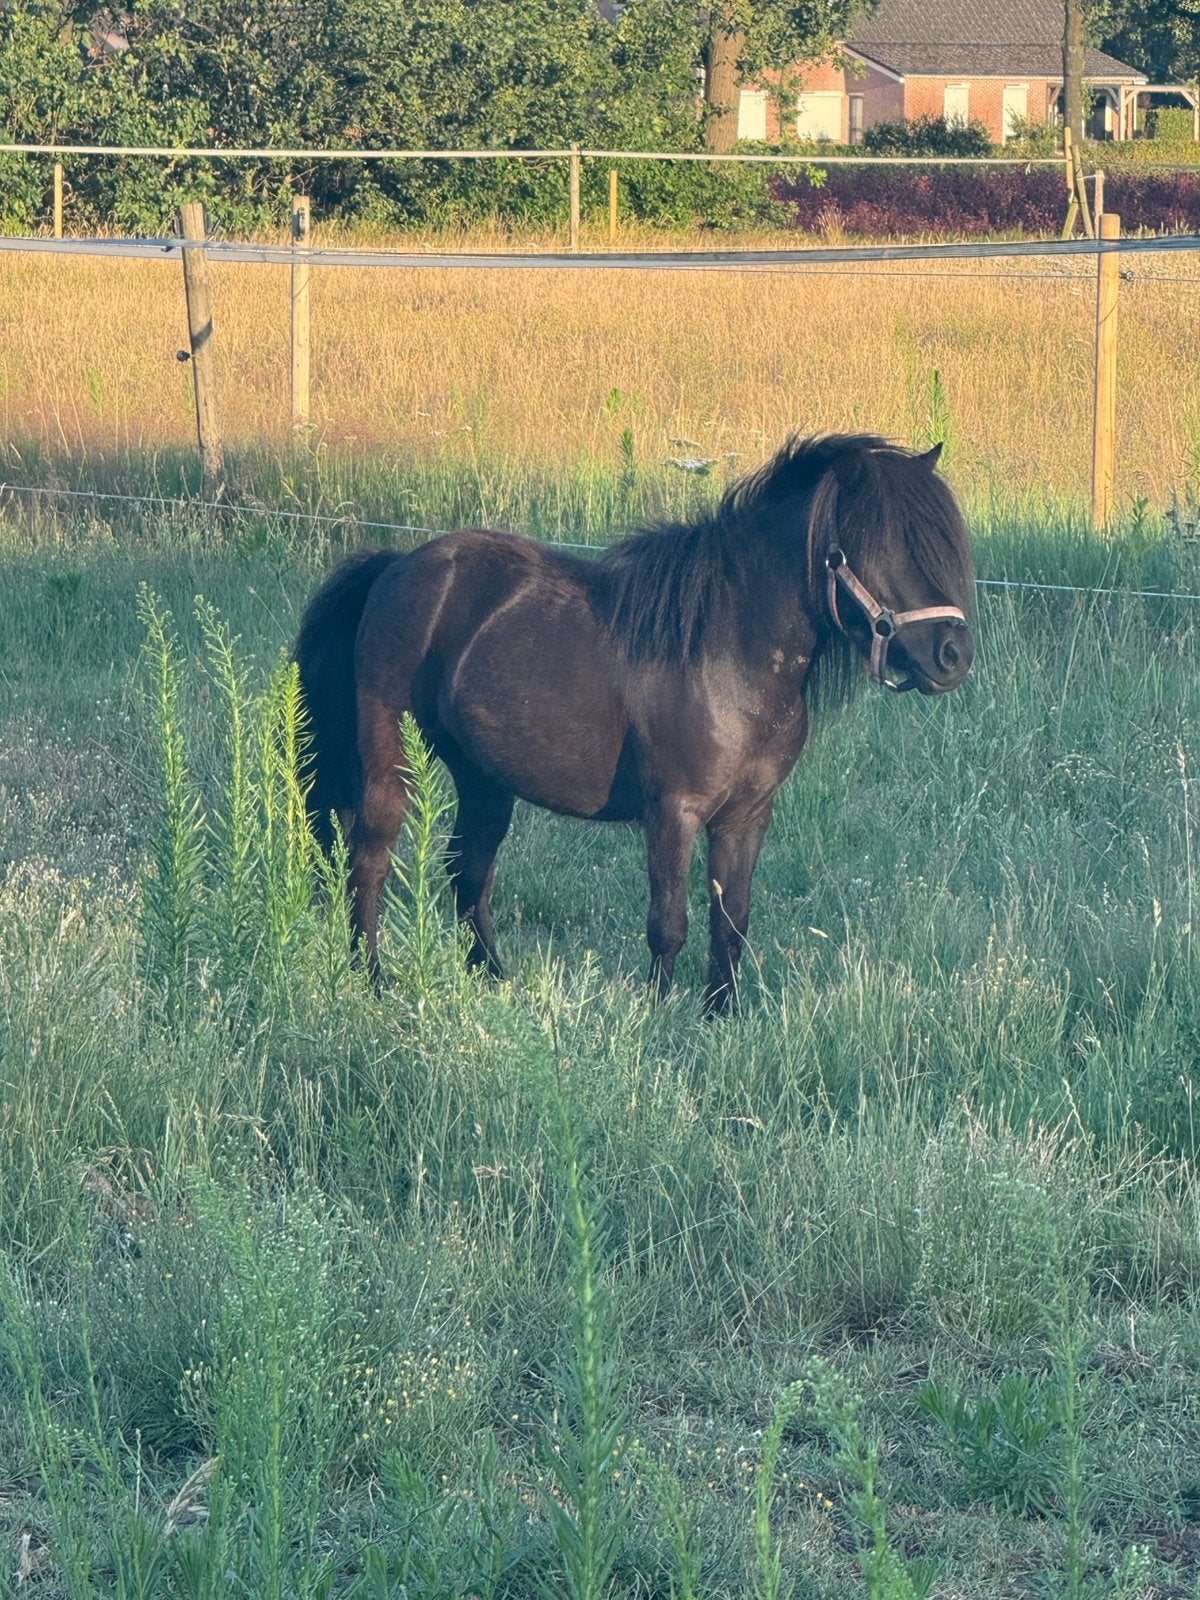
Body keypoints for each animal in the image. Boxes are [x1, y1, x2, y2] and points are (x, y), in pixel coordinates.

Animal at [294, 433, 975, 1013]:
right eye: (883, 545)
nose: (954, 655)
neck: (728, 652)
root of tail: (396, 566)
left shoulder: (748, 816)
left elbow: (732, 920)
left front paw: (719, 1017)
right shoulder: (674, 810)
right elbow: (668, 923)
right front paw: (655, 1019)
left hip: (485, 780)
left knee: (468, 872)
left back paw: (493, 981)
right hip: (391, 761)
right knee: (370, 859)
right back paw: (371, 979)